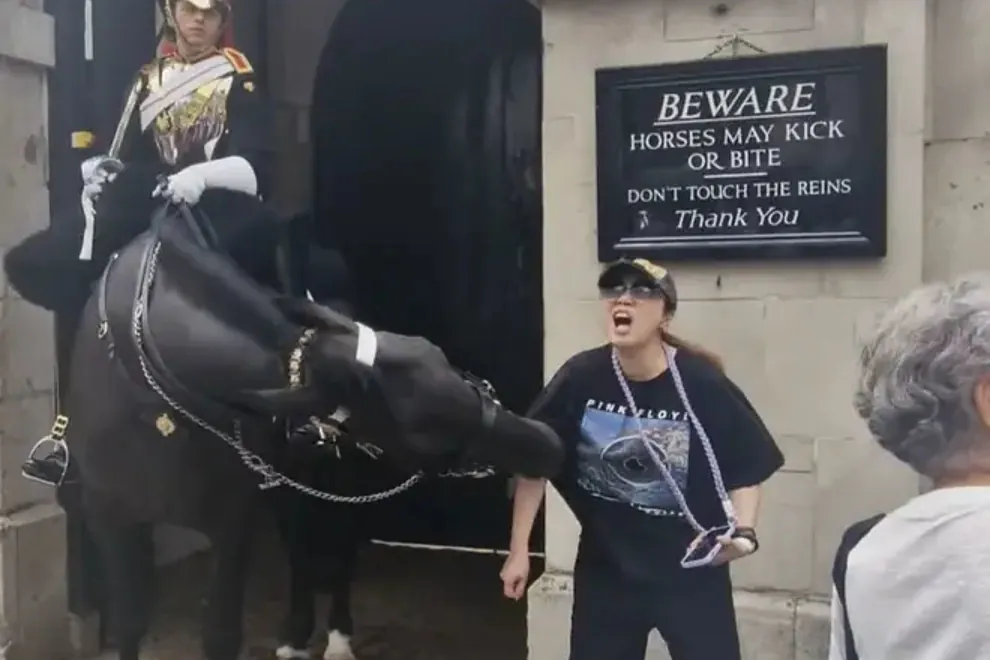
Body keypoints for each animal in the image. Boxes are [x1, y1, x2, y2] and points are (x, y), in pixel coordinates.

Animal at [11, 197, 560, 660]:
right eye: (428, 429)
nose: (547, 443)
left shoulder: (232, 523)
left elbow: (221, 633)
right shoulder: (112, 517)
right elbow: (129, 623)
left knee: (333, 547)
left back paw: (331, 636)